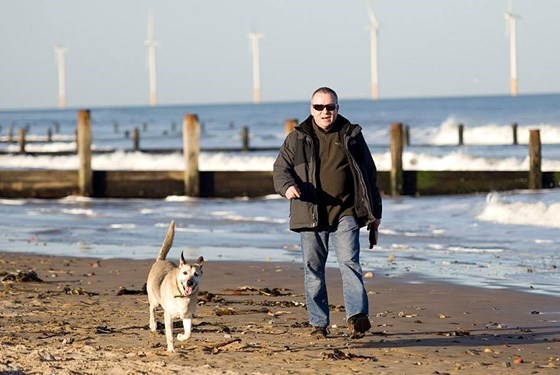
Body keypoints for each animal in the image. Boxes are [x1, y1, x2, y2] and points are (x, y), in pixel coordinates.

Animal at [145, 220, 205, 352]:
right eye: (185, 273)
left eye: (196, 274)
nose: (189, 283)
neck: (182, 296)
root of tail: (161, 261)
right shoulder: (168, 316)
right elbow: (169, 335)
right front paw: (171, 349)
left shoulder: (187, 316)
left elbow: (189, 334)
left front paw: (181, 337)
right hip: (154, 299)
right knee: (152, 308)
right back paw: (153, 324)